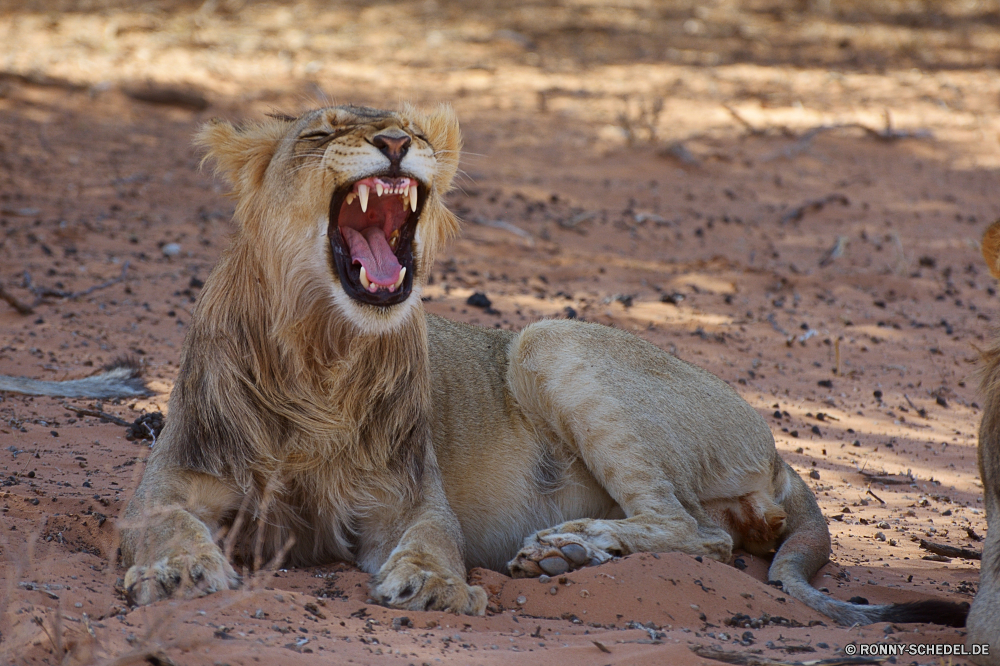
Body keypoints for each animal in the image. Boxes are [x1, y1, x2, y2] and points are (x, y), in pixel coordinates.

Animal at [117, 101, 968, 624]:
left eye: (409, 127)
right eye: (321, 134)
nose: (396, 145)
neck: (322, 352)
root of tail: (782, 454)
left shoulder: (408, 497)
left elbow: (435, 541)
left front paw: (436, 588)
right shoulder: (171, 480)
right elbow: (164, 523)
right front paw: (178, 574)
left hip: (546, 340)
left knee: (699, 533)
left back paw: (568, 547)